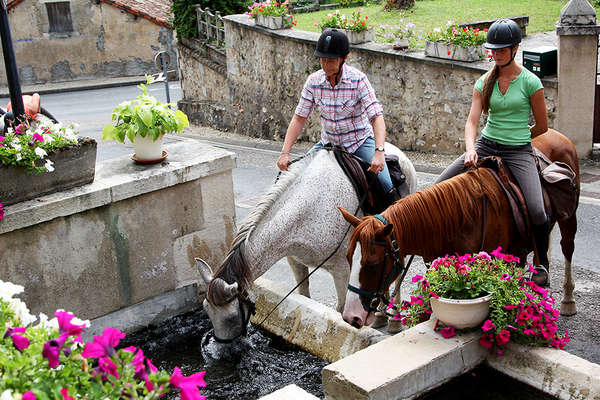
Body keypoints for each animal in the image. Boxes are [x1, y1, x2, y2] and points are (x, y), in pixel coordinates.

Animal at [197, 145, 418, 346]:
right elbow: (305, 297)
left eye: (232, 317)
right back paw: (380, 318)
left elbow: (340, 312)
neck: (308, 207)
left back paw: (394, 321)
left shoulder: (342, 271)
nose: (222, 349)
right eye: (206, 309)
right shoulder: (295, 261)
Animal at [340, 130, 580, 330]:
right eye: (349, 258)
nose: (351, 317)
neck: (459, 220)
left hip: (568, 220)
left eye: (373, 263)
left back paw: (568, 301)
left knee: (567, 249)